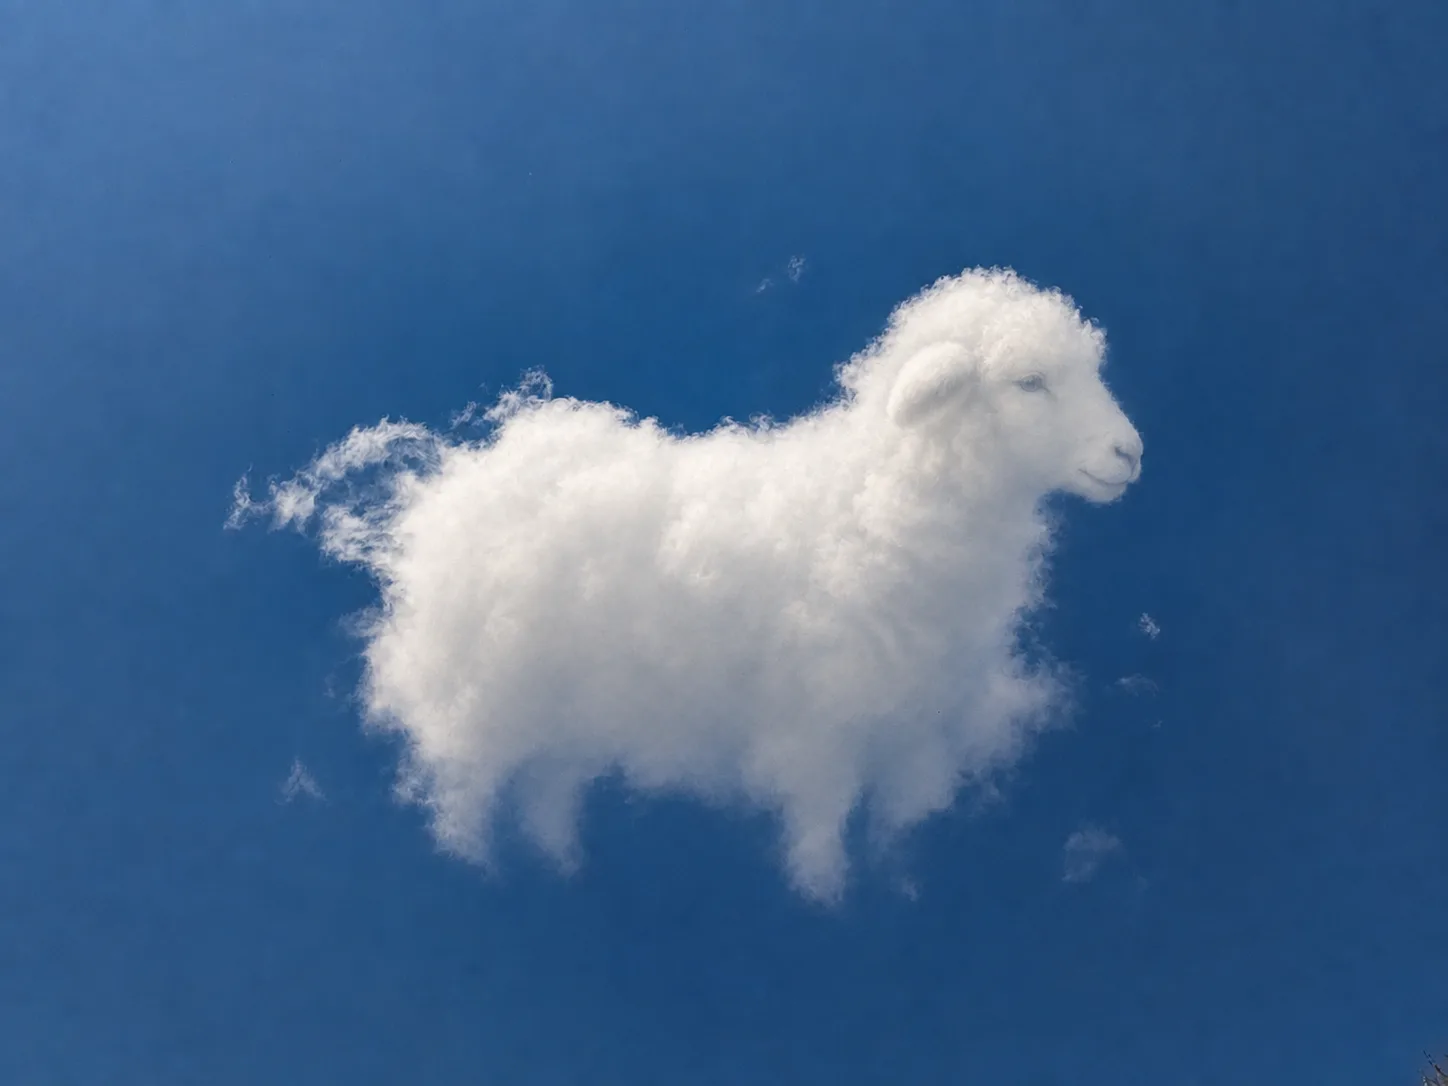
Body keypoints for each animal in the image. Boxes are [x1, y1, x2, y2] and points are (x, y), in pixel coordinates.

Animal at [237, 266, 1144, 900]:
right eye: (1029, 382)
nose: (1131, 453)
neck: (869, 509)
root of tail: (449, 489)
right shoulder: (818, 731)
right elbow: (818, 830)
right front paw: (827, 898)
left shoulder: (919, 726)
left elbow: (903, 819)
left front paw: (903, 873)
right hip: (479, 706)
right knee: (464, 794)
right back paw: (480, 863)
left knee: (550, 785)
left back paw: (561, 859)